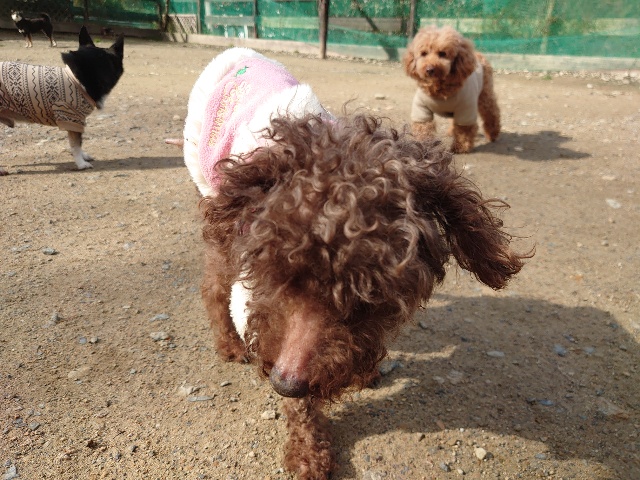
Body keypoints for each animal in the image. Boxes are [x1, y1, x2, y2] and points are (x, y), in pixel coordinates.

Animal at [0, 26, 124, 171]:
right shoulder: (72, 119)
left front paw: (83, 156)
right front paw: (81, 163)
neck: (77, 78)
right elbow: (75, 145)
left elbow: (79, 143)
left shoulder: (77, 122)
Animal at [168, 47, 527, 479]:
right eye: (275, 274)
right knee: (213, 288)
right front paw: (308, 451)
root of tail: (238, 51)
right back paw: (229, 345)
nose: (284, 383)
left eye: (371, 298)